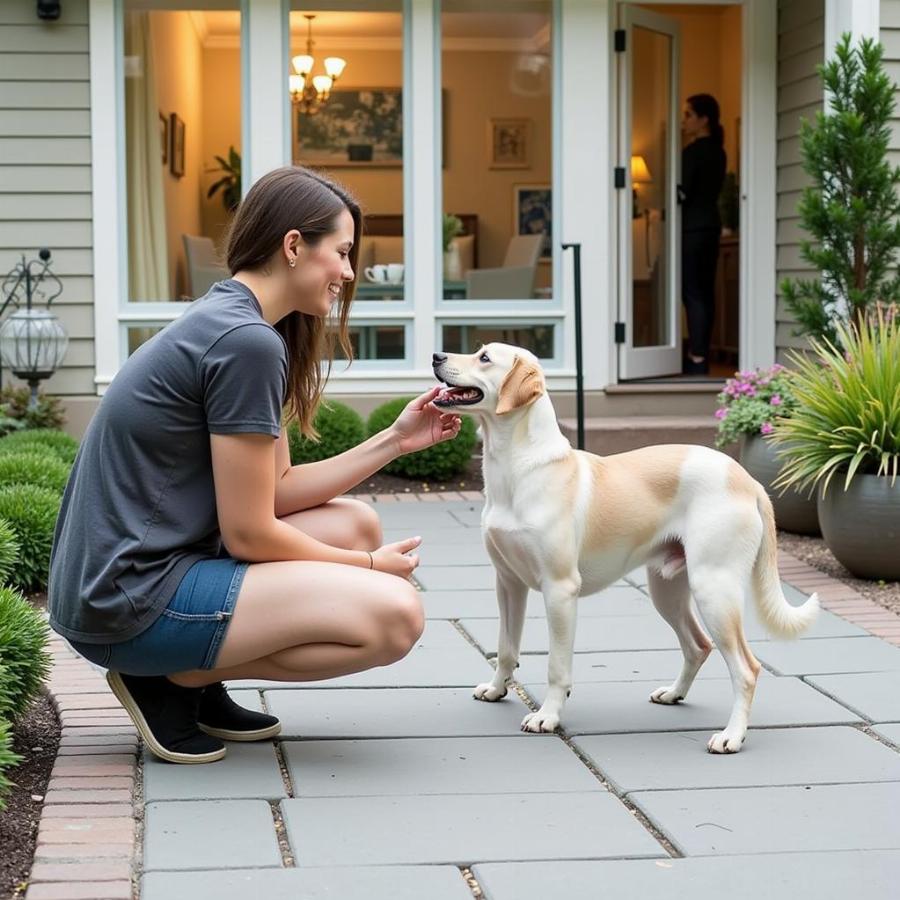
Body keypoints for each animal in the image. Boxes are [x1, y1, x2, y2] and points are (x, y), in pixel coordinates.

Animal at [432, 344, 820, 752]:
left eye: (485, 357)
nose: (437, 356)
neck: (518, 467)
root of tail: (748, 480)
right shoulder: (508, 582)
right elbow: (506, 649)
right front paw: (496, 689)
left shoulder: (559, 590)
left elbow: (557, 666)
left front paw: (547, 716)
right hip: (667, 590)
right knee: (698, 646)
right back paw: (674, 694)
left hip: (714, 590)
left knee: (746, 668)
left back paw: (731, 736)